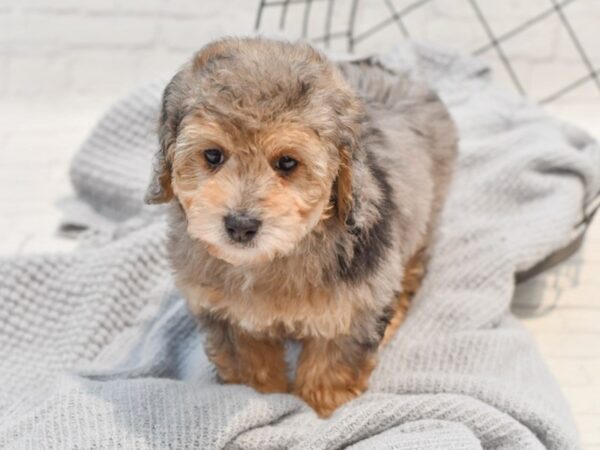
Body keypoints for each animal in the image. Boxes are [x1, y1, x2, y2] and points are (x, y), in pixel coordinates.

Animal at [145, 37, 454, 416]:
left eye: (287, 163)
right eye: (213, 156)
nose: (241, 225)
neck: (272, 258)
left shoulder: (351, 311)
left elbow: (331, 366)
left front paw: (321, 410)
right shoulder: (230, 318)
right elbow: (251, 368)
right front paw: (264, 396)